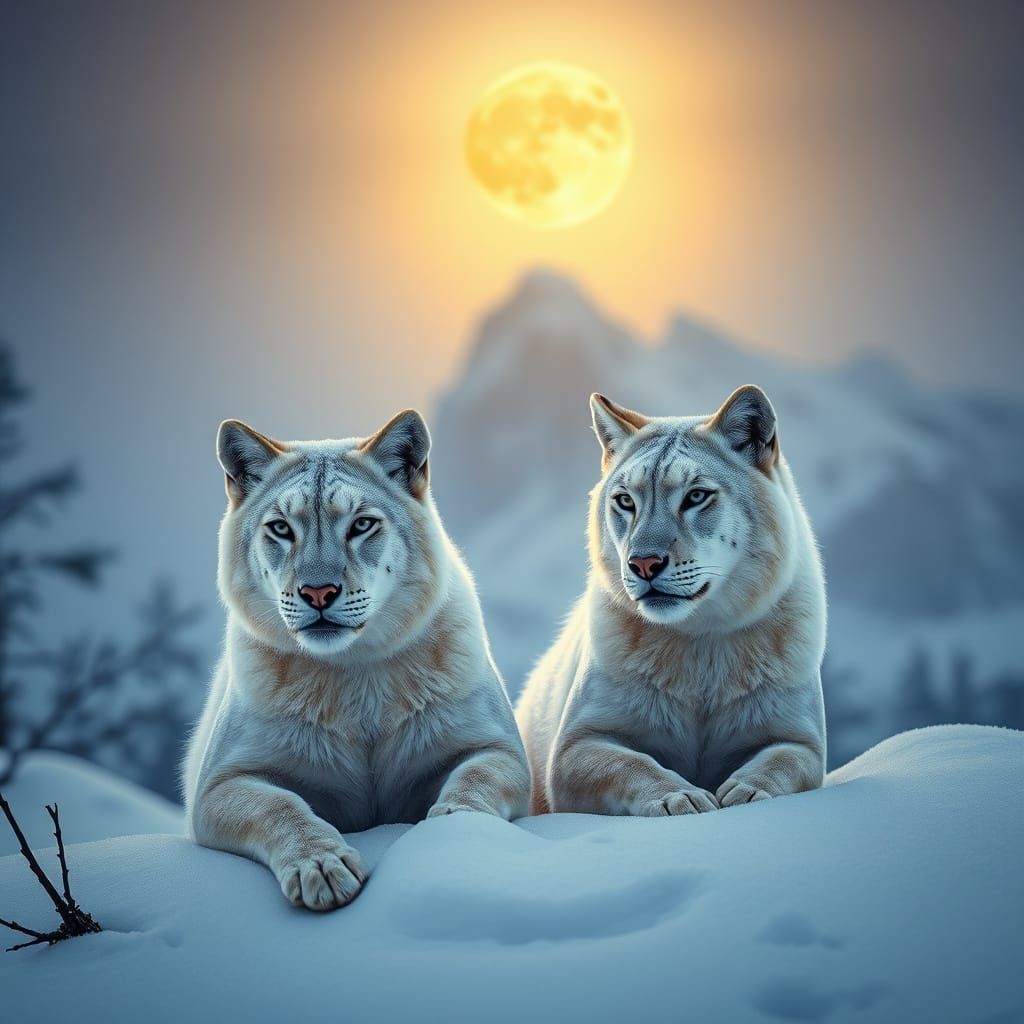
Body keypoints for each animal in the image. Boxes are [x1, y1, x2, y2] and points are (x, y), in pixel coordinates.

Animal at [183, 410, 530, 910]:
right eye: (281, 528)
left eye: (362, 524)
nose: (318, 592)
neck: (355, 677)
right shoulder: (224, 780)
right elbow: (279, 807)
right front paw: (322, 867)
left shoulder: (494, 745)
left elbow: (475, 779)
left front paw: (452, 828)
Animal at [516, 386, 826, 816]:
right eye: (625, 501)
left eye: (696, 496)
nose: (644, 563)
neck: (702, 649)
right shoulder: (579, 742)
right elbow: (630, 764)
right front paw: (681, 797)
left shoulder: (798, 736)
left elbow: (781, 761)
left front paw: (746, 793)